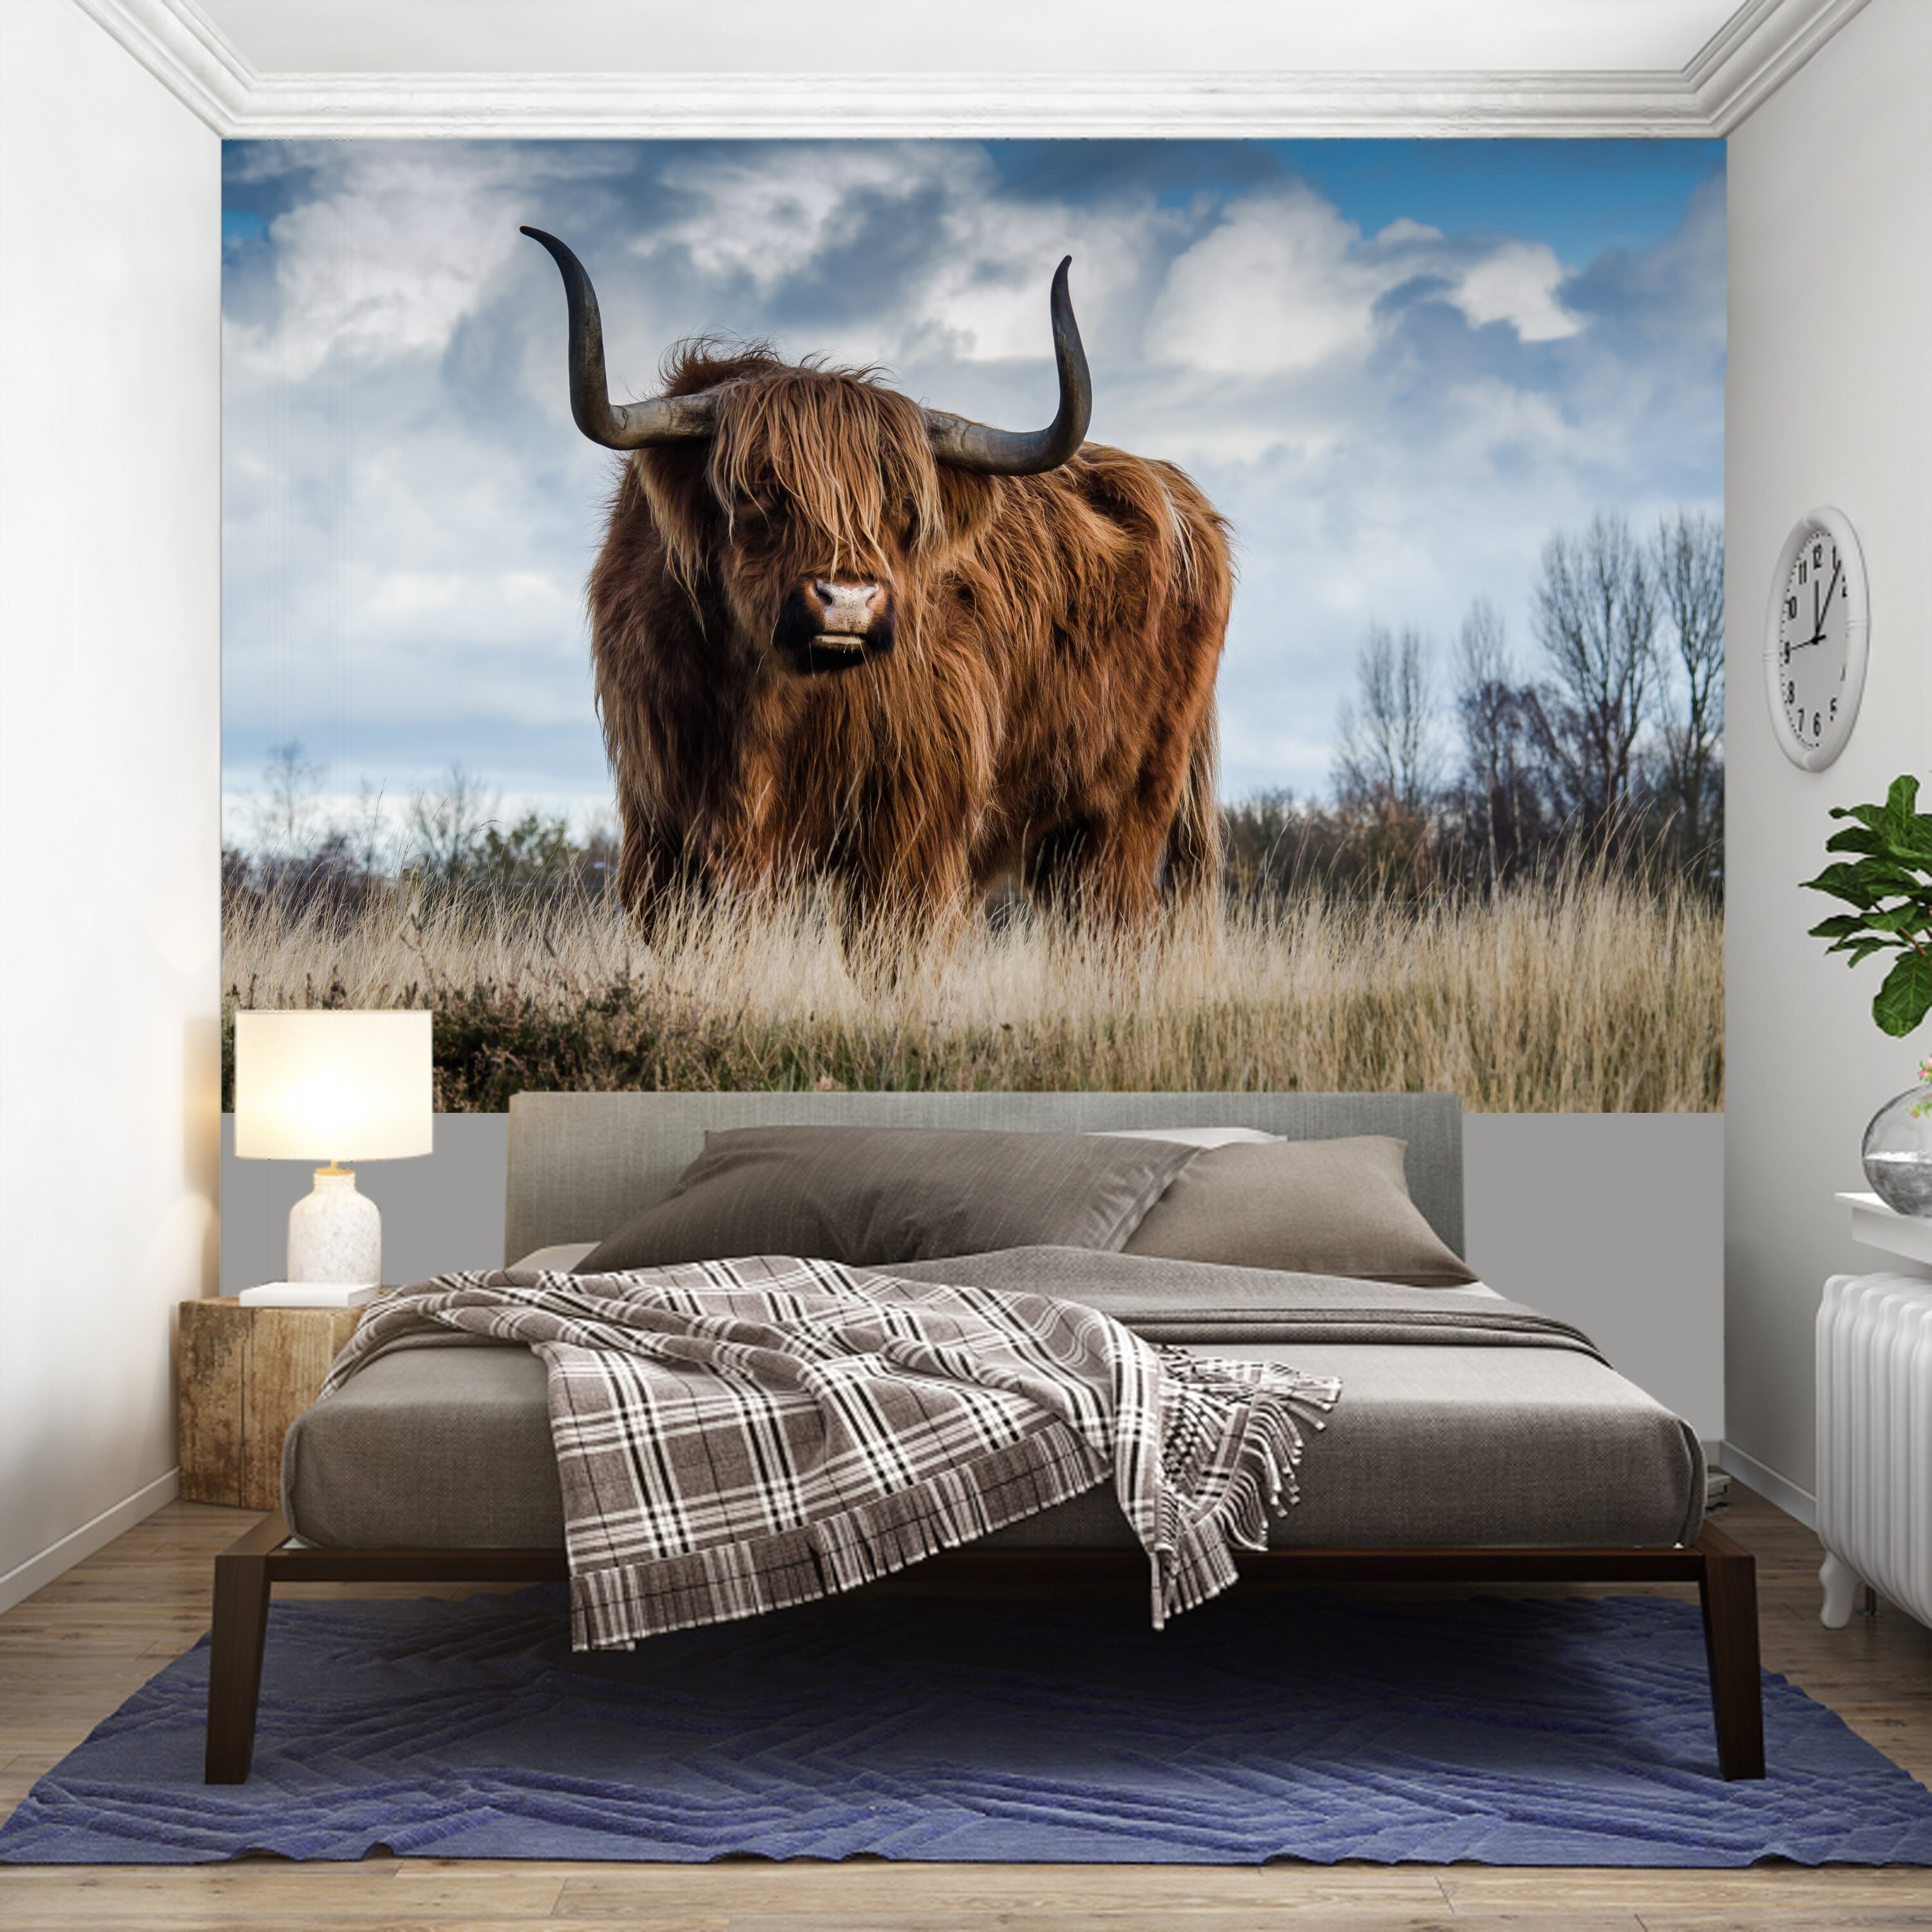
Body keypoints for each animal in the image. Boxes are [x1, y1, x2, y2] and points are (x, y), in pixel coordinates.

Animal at [523, 226, 1232, 953]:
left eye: (902, 506)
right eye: (757, 492)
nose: (848, 601)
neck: (763, 703)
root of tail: (1180, 495)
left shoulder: (911, 828)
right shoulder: (663, 825)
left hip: (1127, 811)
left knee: (1119, 926)